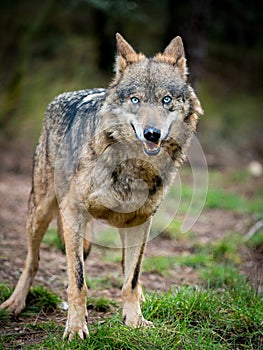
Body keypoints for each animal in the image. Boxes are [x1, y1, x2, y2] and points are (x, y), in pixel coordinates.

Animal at [0, 32, 204, 340]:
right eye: (135, 99)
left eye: (166, 100)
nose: (152, 134)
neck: (133, 166)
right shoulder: (73, 214)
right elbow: (78, 281)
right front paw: (75, 328)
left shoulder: (142, 220)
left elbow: (131, 279)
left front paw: (134, 321)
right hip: (39, 214)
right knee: (32, 260)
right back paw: (16, 302)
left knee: (127, 269)